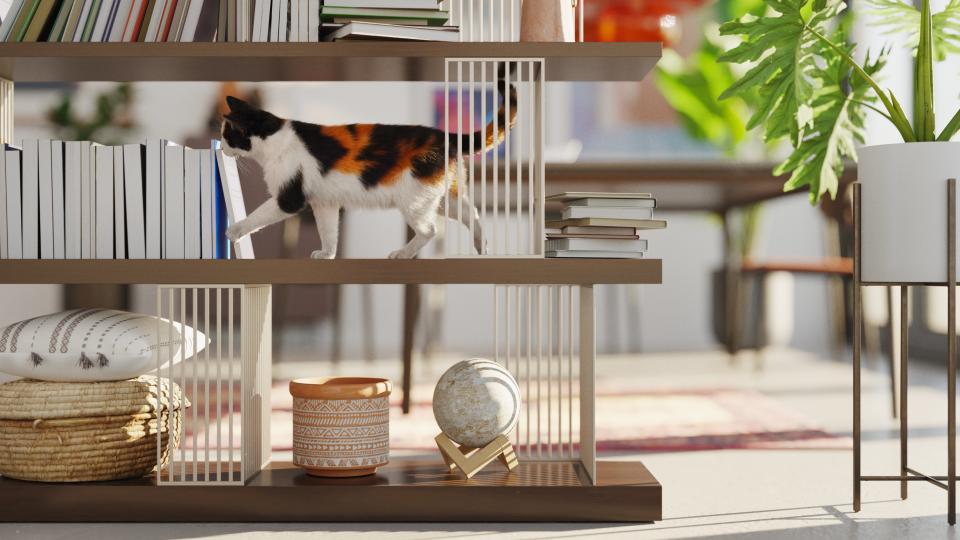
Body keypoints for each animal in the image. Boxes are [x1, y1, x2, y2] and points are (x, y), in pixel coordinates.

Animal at [222, 80, 516, 260]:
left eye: (227, 135)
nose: (222, 147)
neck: (275, 137)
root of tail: (445, 135)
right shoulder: (324, 202)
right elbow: (328, 231)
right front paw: (327, 254)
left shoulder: (289, 198)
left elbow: (258, 215)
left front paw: (235, 230)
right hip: (443, 197)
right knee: (472, 213)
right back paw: (482, 246)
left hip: (414, 200)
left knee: (430, 230)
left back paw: (403, 254)